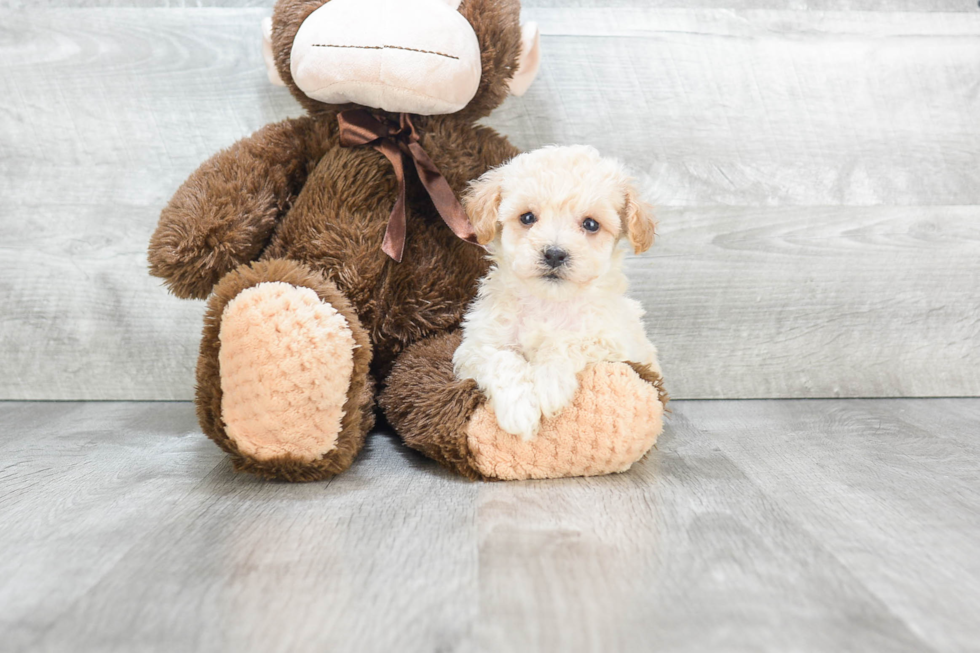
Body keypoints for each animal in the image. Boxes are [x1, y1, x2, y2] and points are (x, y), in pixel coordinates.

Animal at [456, 143, 664, 438]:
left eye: (591, 224)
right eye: (527, 217)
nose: (554, 254)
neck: (548, 302)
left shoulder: (613, 340)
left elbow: (567, 341)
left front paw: (547, 385)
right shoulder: (475, 345)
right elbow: (502, 358)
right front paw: (519, 409)